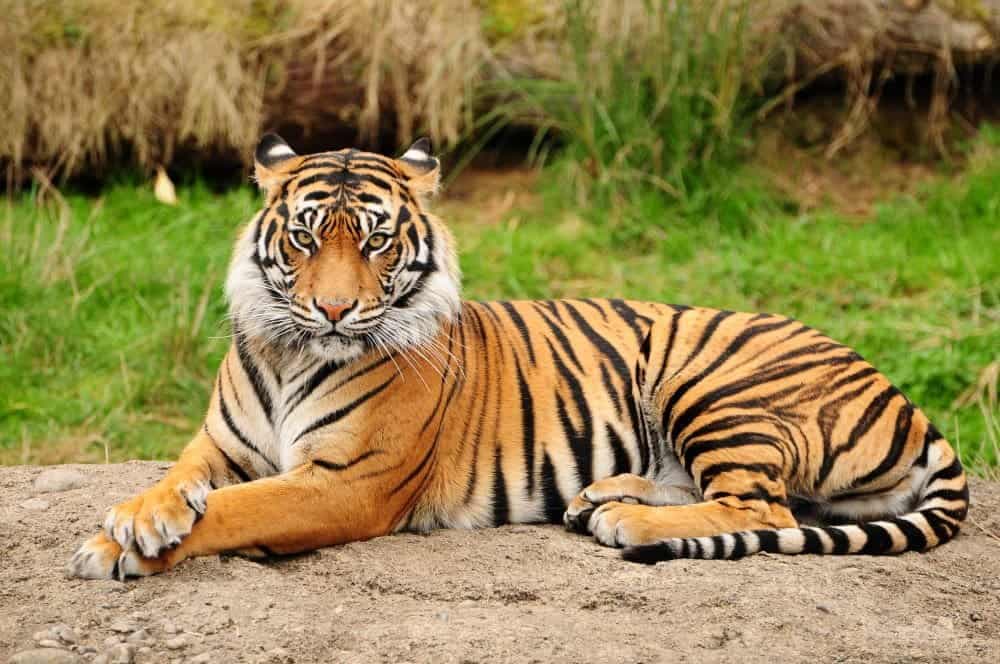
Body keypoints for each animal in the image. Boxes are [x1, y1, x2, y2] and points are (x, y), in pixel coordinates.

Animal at [68, 134, 969, 580]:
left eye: (376, 242)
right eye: (304, 237)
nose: (333, 309)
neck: (293, 353)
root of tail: (904, 397)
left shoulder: (345, 483)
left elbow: (237, 511)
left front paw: (118, 548)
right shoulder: (219, 445)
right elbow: (180, 483)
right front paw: (137, 519)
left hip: (711, 381)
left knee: (765, 509)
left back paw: (627, 520)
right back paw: (601, 496)